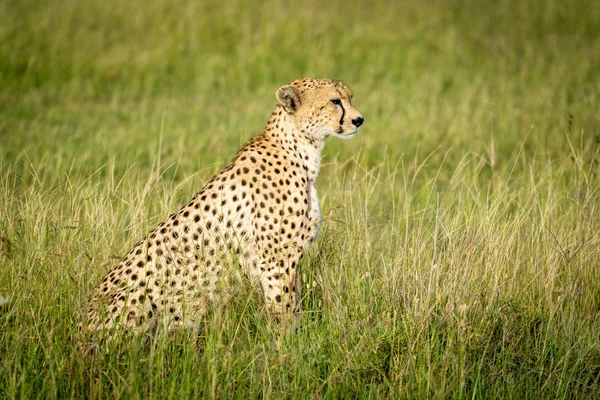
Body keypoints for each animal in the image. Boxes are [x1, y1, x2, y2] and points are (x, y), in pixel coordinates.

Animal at [85, 78, 366, 334]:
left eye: (350, 97)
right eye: (335, 101)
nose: (359, 120)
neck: (300, 149)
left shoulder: (291, 257)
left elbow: (293, 302)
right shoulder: (276, 260)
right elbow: (283, 308)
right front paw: (288, 346)